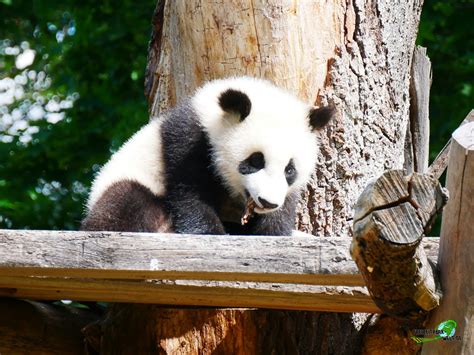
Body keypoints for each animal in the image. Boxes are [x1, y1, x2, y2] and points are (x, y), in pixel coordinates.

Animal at [81, 76, 334, 235]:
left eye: (290, 170)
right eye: (255, 160)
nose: (267, 202)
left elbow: (283, 209)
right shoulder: (187, 140)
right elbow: (190, 193)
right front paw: (209, 231)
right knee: (125, 201)